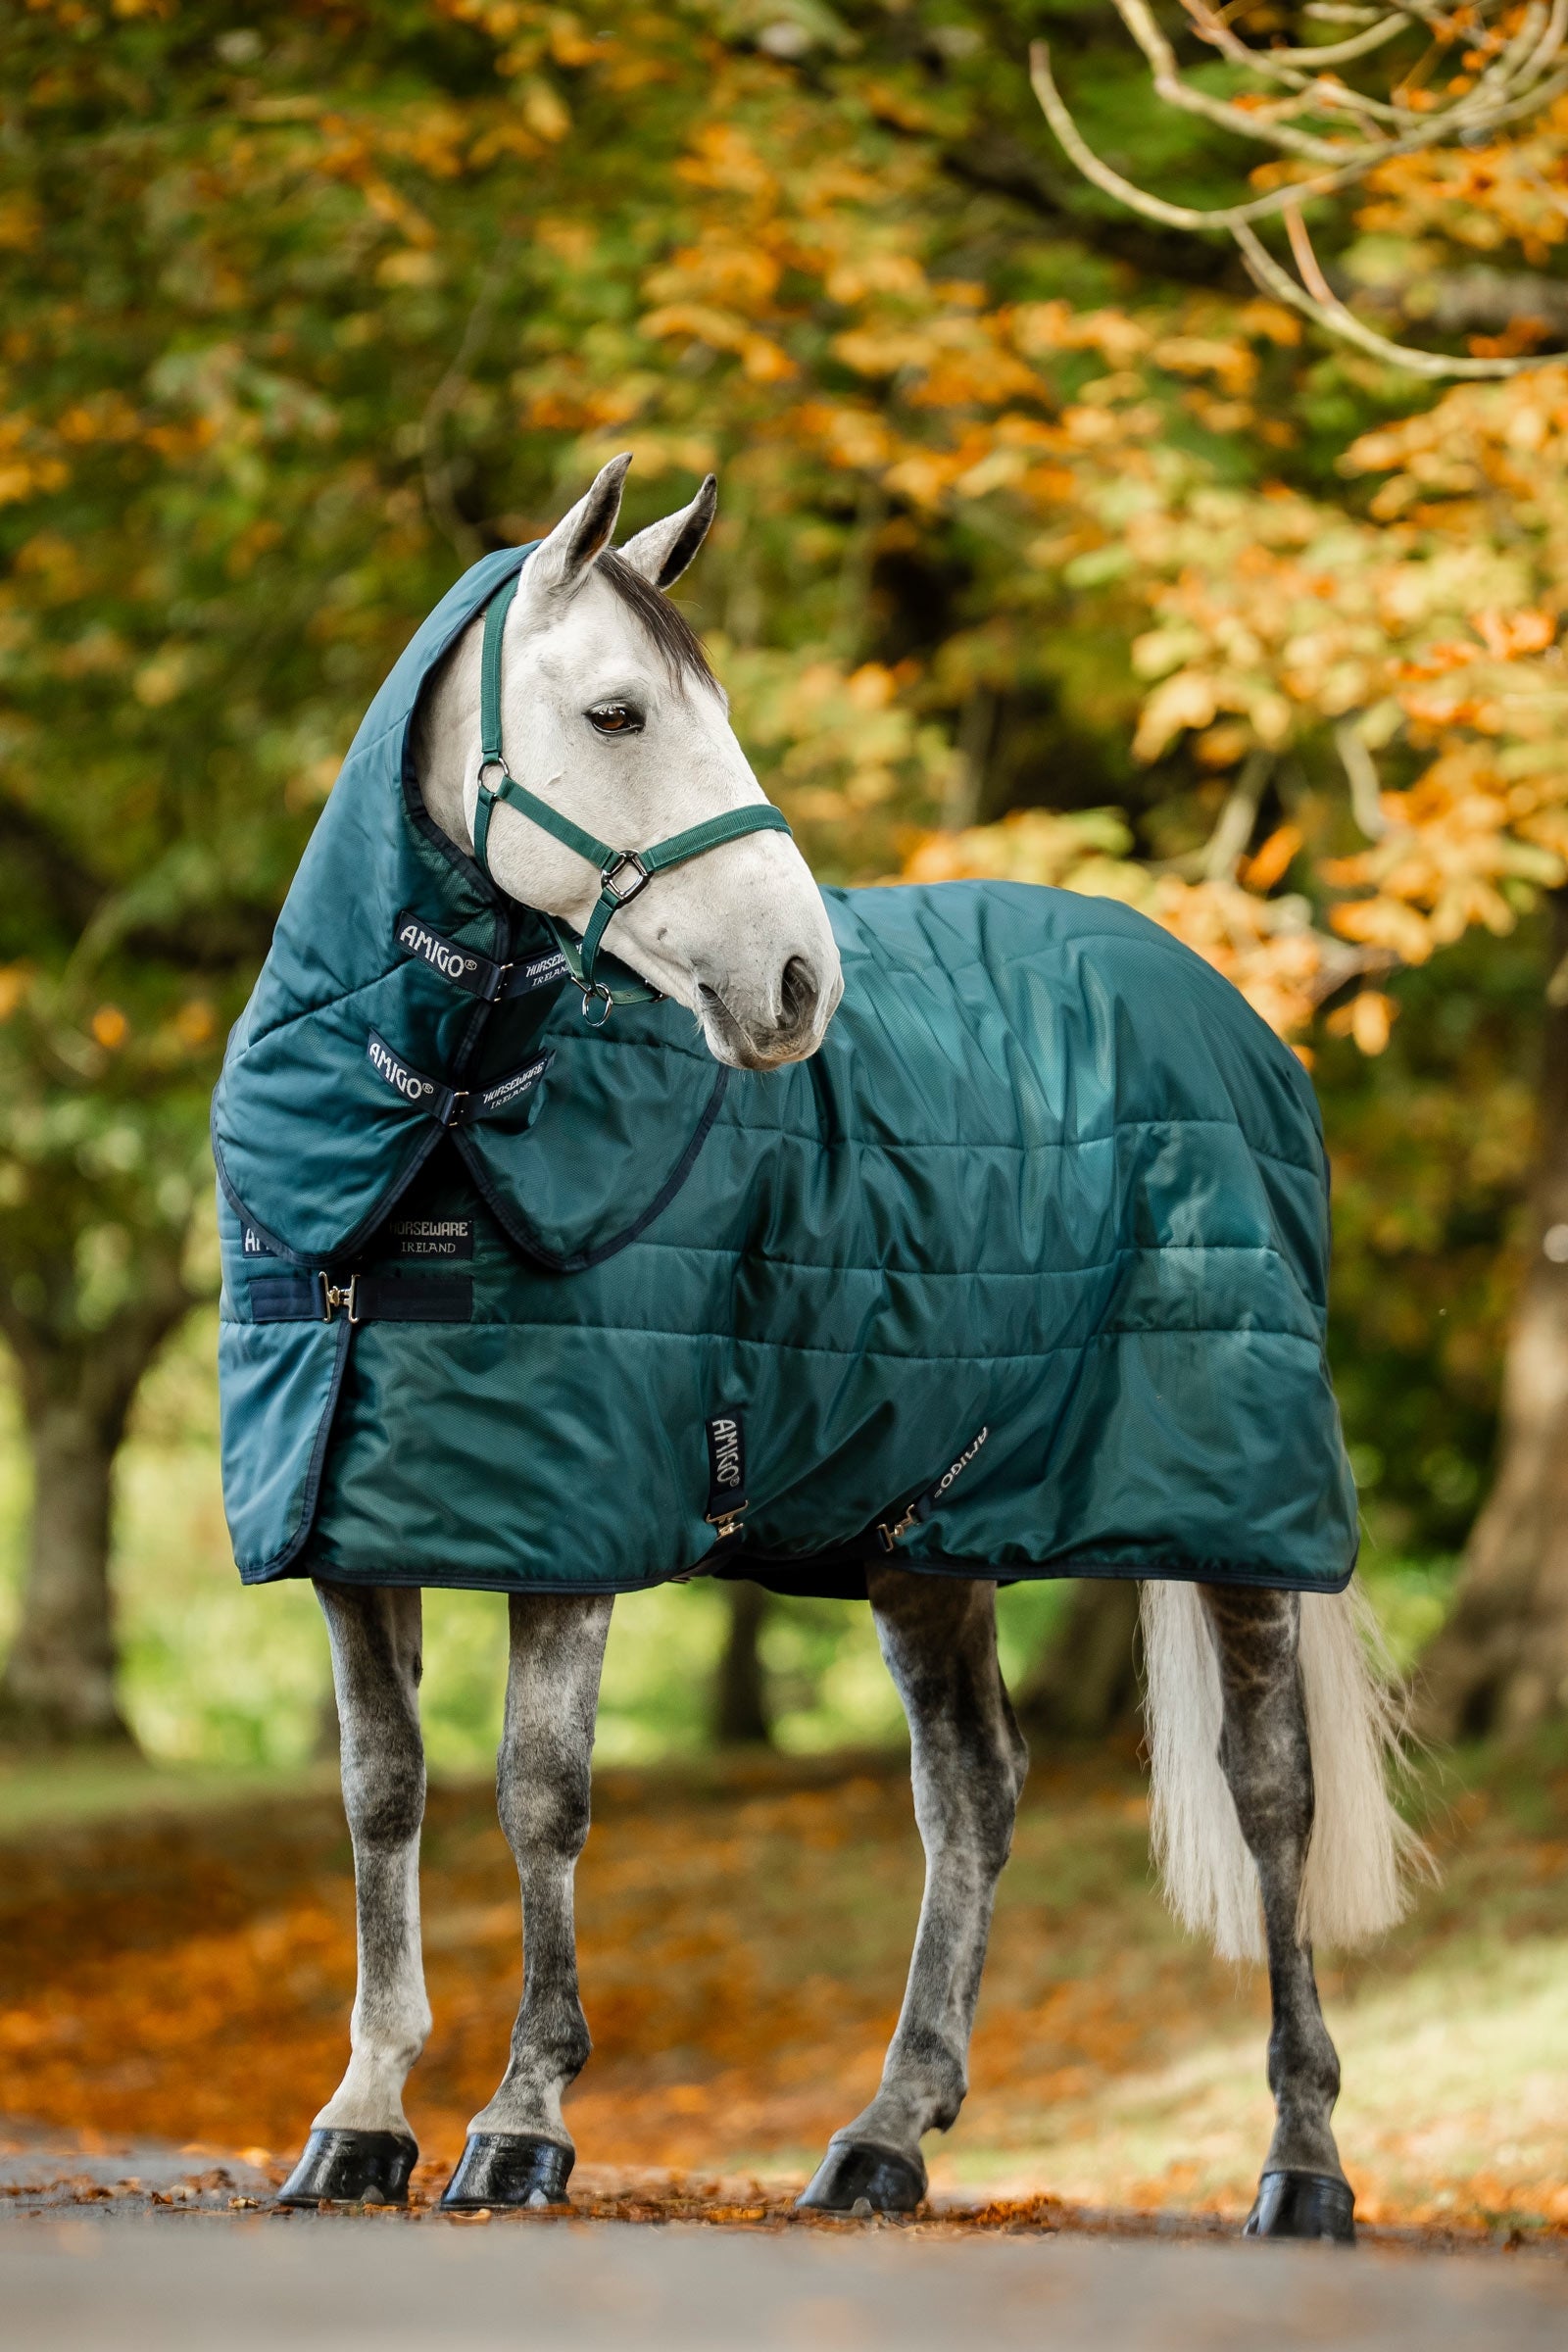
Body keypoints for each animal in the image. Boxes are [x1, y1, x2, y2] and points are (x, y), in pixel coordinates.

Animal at [220, 457, 1413, 2239]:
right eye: (622, 711)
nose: (797, 984)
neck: (433, 1134)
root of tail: (1227, 1014)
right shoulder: (359, 1535)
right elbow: (385, 1796)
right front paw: (359, 2122)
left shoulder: (572, 1528)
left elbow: (538, 1795)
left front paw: (522, 2124)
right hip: (926, 1530)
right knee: (974, 1792)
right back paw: (884, 2140)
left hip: (1235, 1512)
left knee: (1271, 1796)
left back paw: (1305, 2165)